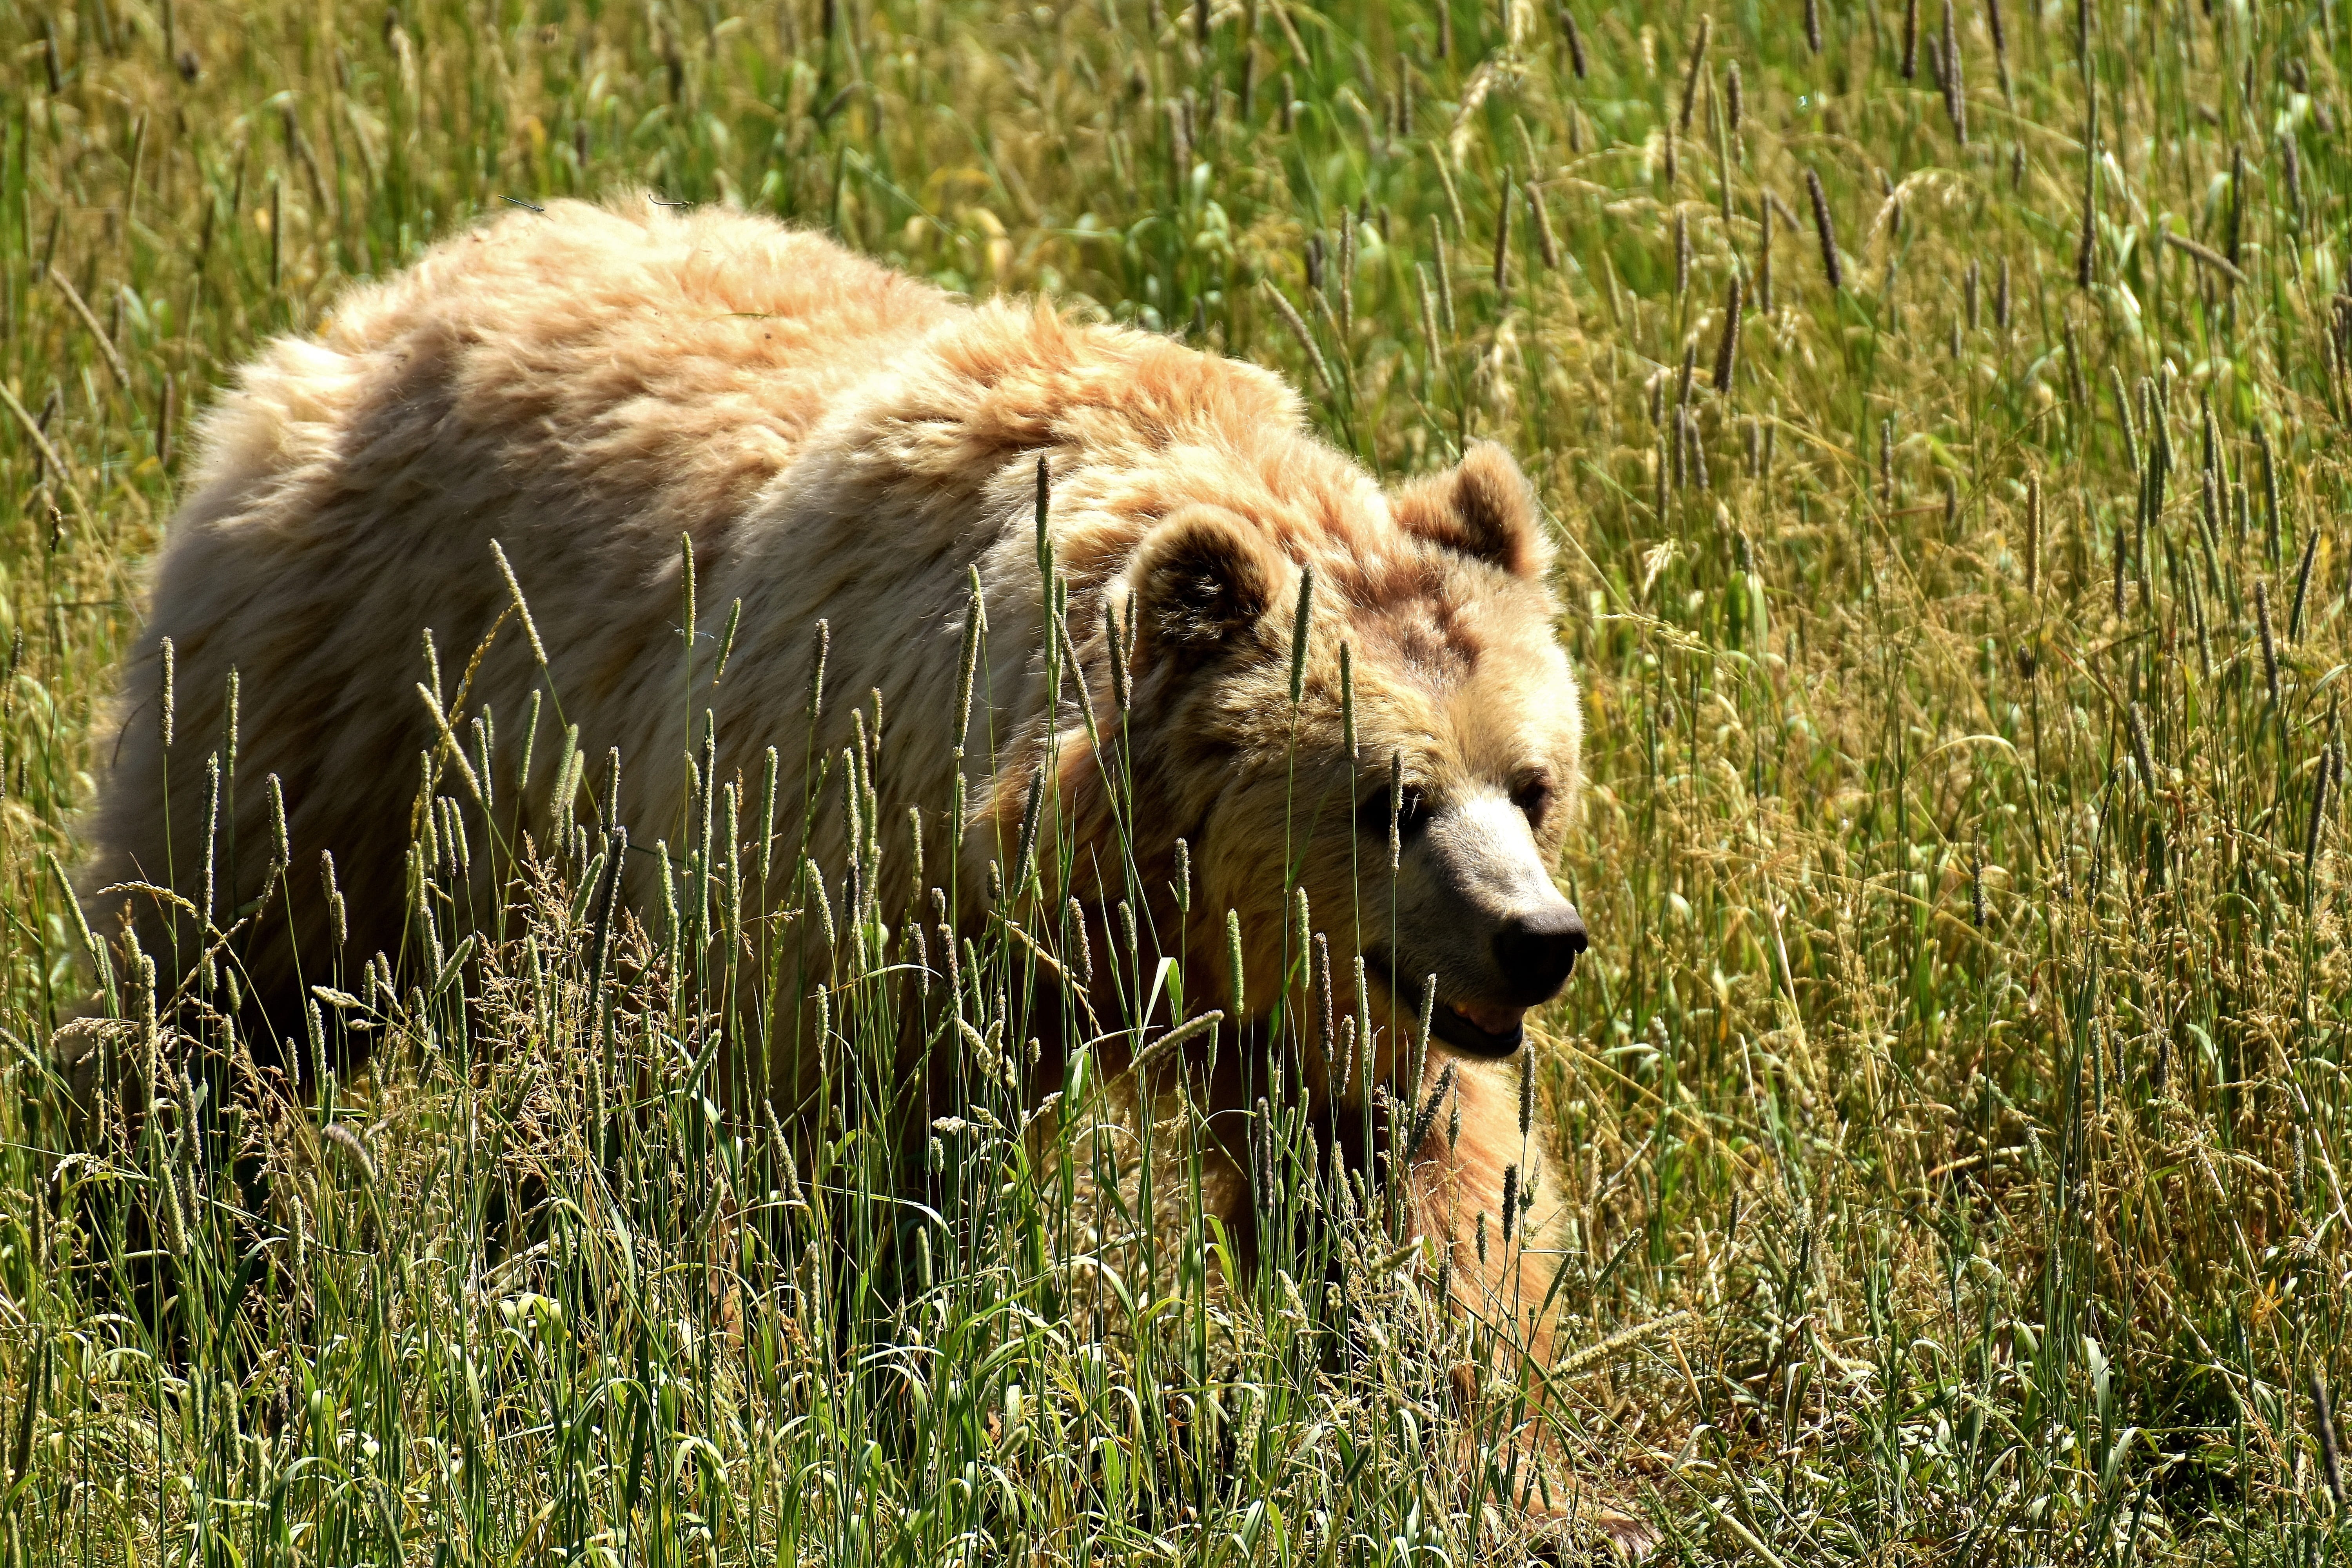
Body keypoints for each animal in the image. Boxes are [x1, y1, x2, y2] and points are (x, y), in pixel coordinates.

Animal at [78, 194, 1609, 1536]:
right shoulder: (861, 890)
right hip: (343, 711)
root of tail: (406, 287)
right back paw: (171, 1259)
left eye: (1532, 781)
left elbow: (1403, 1193)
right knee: (221, 995)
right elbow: (869, 1177)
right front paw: (895, 1412)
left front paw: (1471, 1455)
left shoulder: (1322, 1003)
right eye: (1392, 798)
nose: (1537, 939)